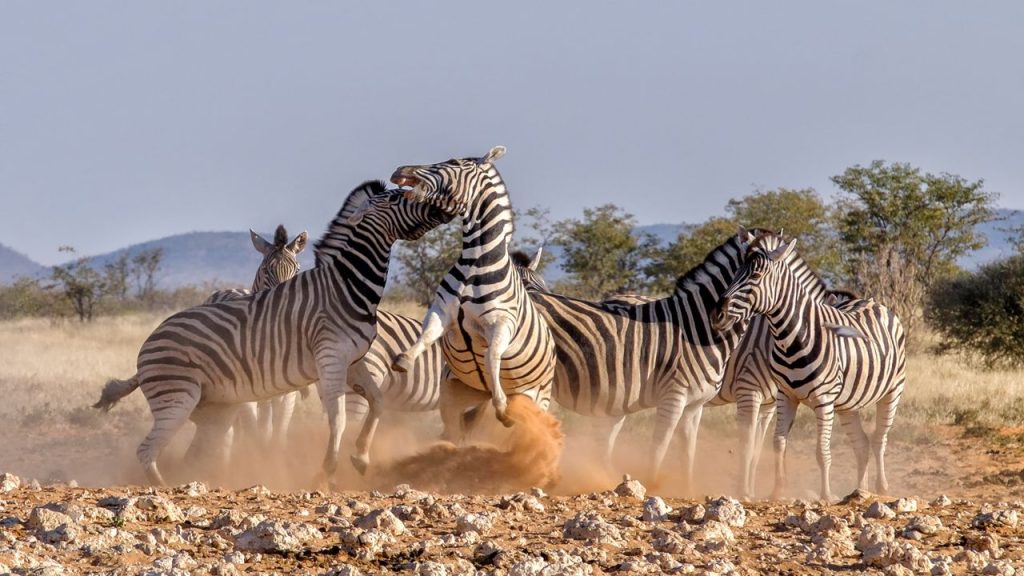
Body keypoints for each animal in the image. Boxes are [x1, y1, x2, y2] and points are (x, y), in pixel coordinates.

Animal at [94, 180, 454, 483]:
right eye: (397, 198)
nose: (445, 207)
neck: (345, 285)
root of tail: (147, 345)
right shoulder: (330, 357)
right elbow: (337, 417)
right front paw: (327, 470)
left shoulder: (352, 360)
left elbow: (377, 402)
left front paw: (361, 457)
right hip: (178, 398)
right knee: (147, 451)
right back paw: (168, 490)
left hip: (214, 411)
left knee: (195, 453)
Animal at [389, 146, 557, 430]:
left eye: (454, 162)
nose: (401, 169)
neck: (475, 262)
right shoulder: (441, 309)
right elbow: (426, 334)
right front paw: (404, 359)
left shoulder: (503, 322)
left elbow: (491, 357)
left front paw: (502, 406)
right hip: (455, 395)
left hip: (538, 397)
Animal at [712, 230, 905, 500]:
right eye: (735, 273)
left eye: (756, 276)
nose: (717, 314)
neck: (791, 337)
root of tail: (874, 302)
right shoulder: (784, 396)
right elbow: (778, 443)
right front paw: (776, 492)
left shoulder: (822, 399)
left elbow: (821, 452)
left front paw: (825, 495)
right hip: (848, 404)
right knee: (862, 444)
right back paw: (860, 492)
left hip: (892, 391)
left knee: (879, 440)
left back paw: (881, 489)